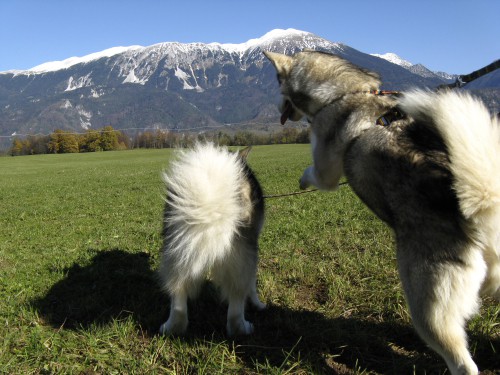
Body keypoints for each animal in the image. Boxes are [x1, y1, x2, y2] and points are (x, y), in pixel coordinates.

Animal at [157, 144, 266, 338]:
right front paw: (258, 304)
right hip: (243, 254)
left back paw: (171, 327)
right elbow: (253, 285)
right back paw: (243, 328)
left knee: (177, 292)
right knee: (236, 305)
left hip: (175, 253)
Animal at [266, 50, 500, 375]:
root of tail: (478, 218)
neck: (346, 92)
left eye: (277, 85)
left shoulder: (326, 170)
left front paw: (302, 181)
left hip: (428, 310)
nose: (277, 107)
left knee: (463, 363)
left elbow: (313, 173)